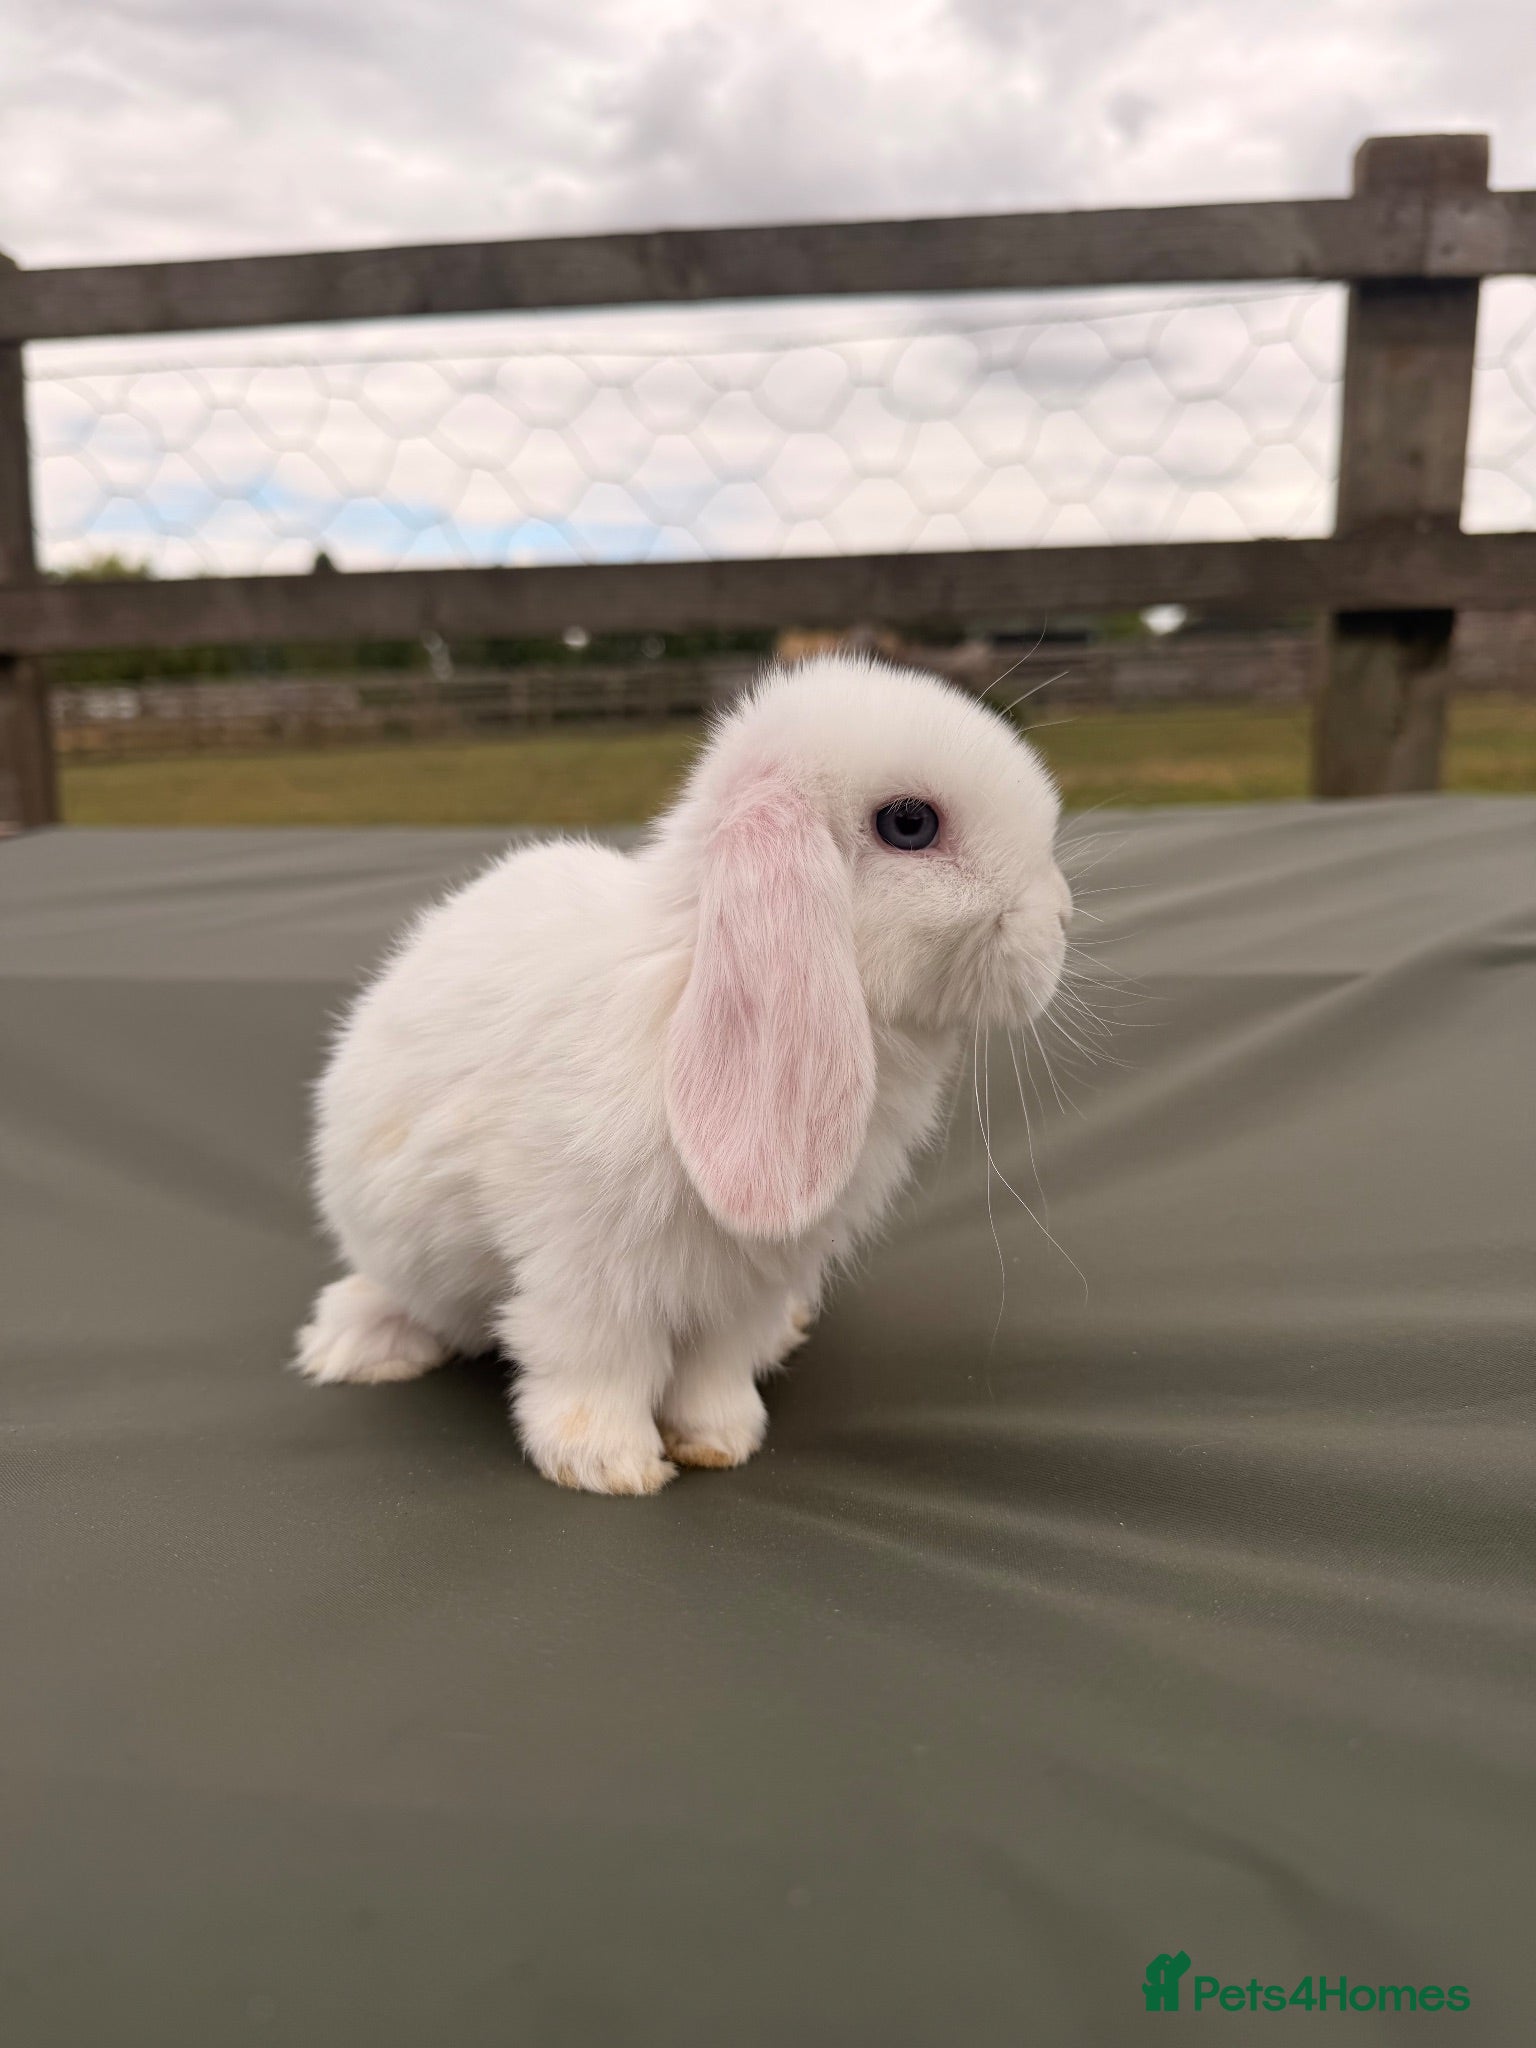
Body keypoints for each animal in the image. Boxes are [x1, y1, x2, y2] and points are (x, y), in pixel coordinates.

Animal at [295, 653, 1072, 1494]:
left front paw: (720, 1441)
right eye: (910, 824)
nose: (1060, 917)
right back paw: (358, 1346)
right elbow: (596, 1360)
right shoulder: (588, 1266)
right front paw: (609, 1464)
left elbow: (716, 1368)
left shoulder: (749, 1281)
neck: (685, 979)